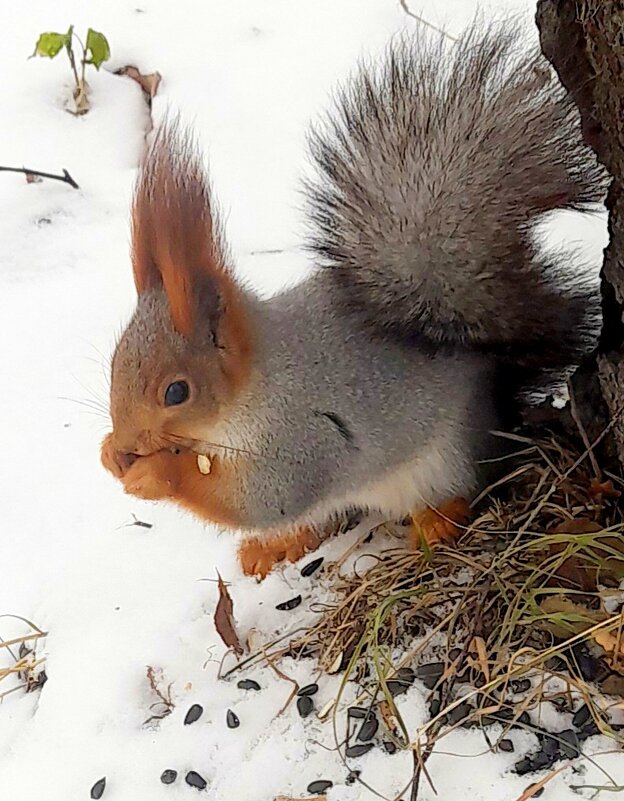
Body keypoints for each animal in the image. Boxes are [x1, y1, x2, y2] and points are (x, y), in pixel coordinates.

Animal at [101, 21, 604, 580]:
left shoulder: (304, 433)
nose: (127, 443)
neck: (251, 390)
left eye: (177, 392)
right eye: (114, 367)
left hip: (447, 459)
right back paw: (276, 545)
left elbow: (265, 497)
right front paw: (109, 454)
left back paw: (437, 522)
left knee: (457, 488)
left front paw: (155, 473)